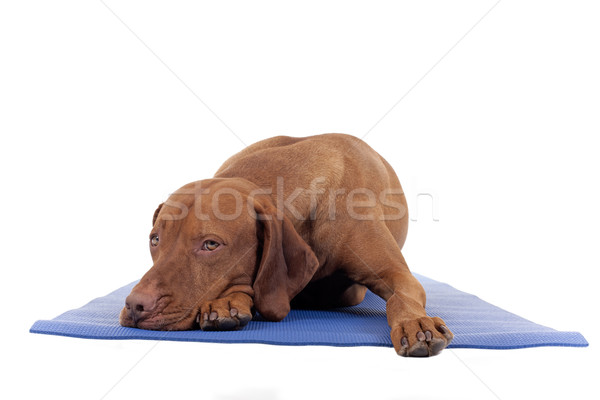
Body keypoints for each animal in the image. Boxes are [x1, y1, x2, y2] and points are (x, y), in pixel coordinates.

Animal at [119, 134, 452, 356]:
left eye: (210, 244)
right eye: (155, 240)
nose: (135, 306)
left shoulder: (387, 277)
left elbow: (401, 296)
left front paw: (415, 322)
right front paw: (229, 301)